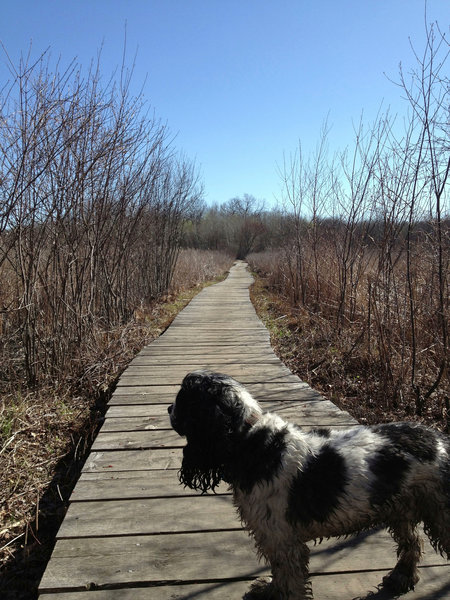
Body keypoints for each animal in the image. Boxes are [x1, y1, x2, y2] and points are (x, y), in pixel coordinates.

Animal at [168, 370, 450, 600]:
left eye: (183, 399)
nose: (169, 408)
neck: (249, 439)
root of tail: (439, 437)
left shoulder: (283, 538)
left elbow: (290, 581)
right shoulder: (274, 538)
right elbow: (280, 574)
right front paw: (269, 591)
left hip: (438, 513)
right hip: (401, 509)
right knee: (412, 543)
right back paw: (401, 578)